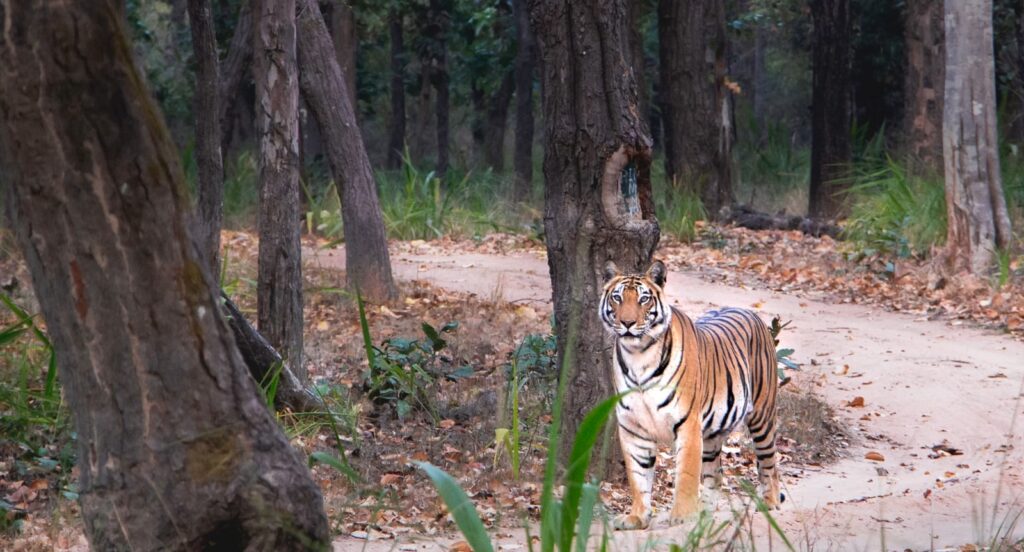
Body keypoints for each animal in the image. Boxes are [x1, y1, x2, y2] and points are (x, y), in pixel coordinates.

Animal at [600, 259, 781, 530]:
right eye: (617, 298)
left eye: (643, 299)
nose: (628, 323)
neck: (638, 356)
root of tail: (750, 312)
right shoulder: (633, 428)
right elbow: (638, 476)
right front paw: (637, 516)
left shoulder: (687, 423)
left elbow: (686, 472)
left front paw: (683, 515)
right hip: (713, 432)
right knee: (716, 474)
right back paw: (705, 511)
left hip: (761, 415)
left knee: (769, 461)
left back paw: (769, 502)